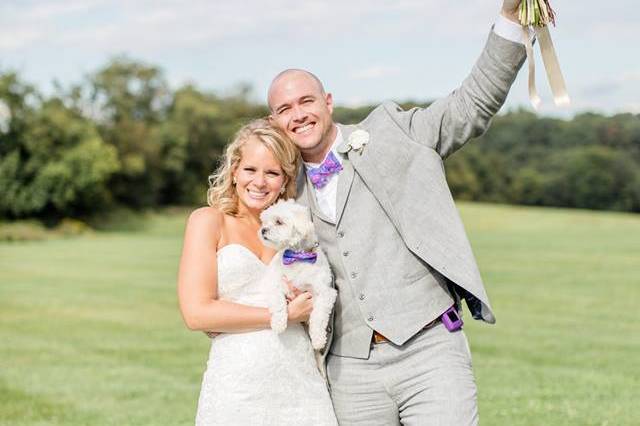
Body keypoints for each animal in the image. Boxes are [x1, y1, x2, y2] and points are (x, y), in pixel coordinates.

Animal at [258, 200, 338, 350]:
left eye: (278, 221)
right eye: (264, 222)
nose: (263, 230)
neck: (297, 256)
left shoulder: (325, 293)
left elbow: (318, 317)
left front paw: (318, 340)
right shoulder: (274, 283)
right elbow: (278, 302)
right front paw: (278, 323)